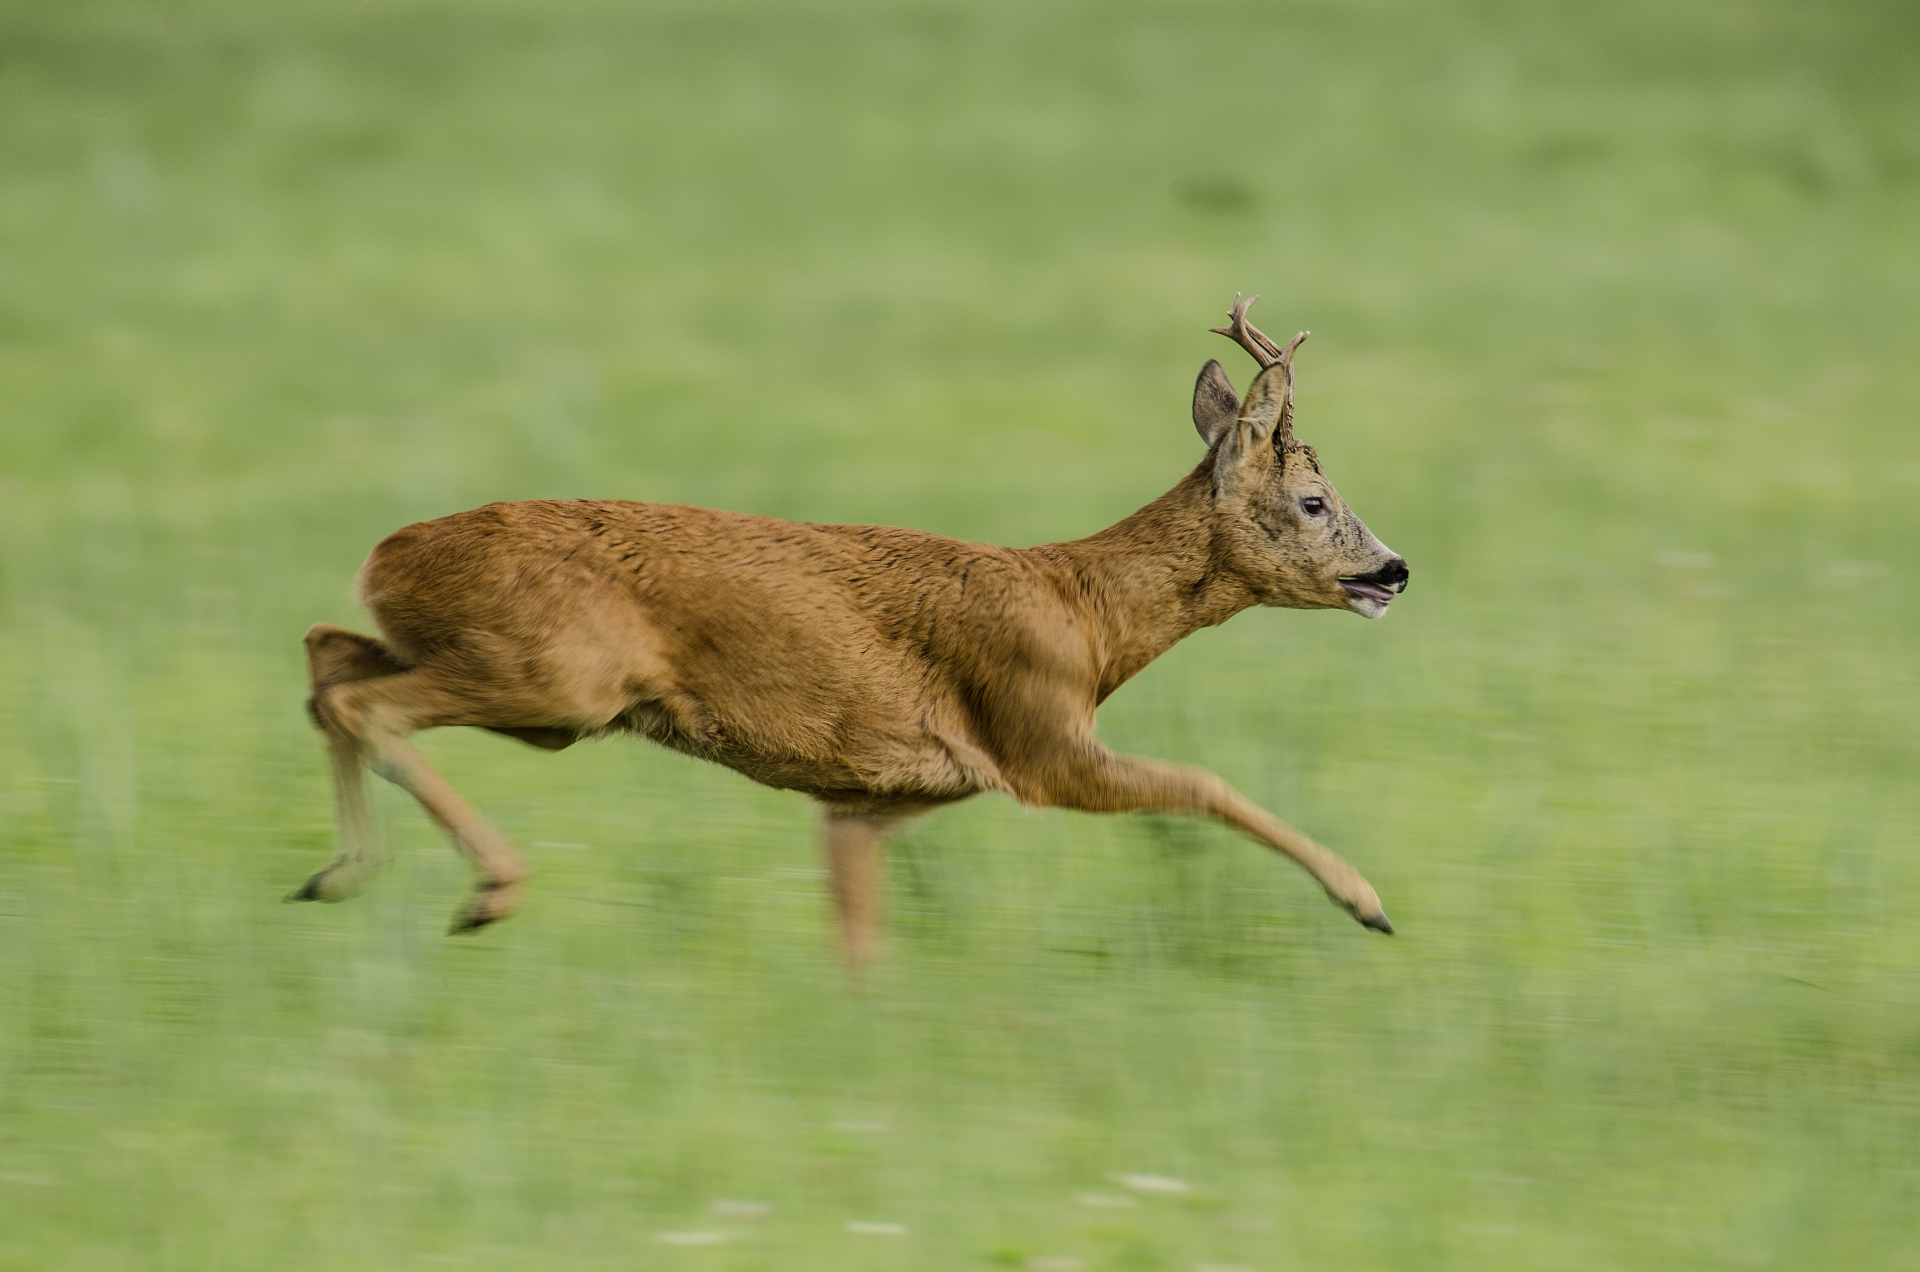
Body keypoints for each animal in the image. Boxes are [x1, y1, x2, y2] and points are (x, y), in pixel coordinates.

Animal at [299, 299, 1413, 968]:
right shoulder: (1039, 744)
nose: (1394, 570)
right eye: (1315, 502)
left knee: (325, 655)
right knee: (360, 697)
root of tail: (385, 556)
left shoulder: (868, 801)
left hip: (490, 661)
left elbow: (859, 942)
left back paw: (332, 875)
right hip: (558, 680)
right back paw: (484, 890)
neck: (1087, 616)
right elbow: (1207, 785)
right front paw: (1368, 902)